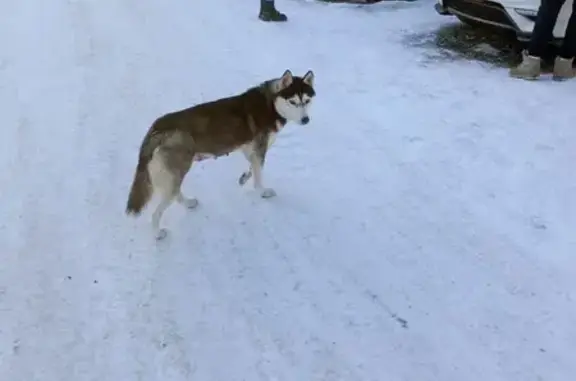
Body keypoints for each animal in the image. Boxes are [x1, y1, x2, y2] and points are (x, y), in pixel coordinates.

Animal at [125, 70, 316, 239]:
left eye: (306, 101)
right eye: (293, 102)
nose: (306, 120)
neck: (271, 104)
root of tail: (156, 129)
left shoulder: (251, 150)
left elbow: (252, 168)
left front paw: (244, 178)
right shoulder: (260, 148)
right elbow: (259, 175)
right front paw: (262, 191)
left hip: (173, 174)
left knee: (176, 193)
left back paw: (189, 203)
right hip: (176, 171)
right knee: (157, 211)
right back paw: (158, 233)